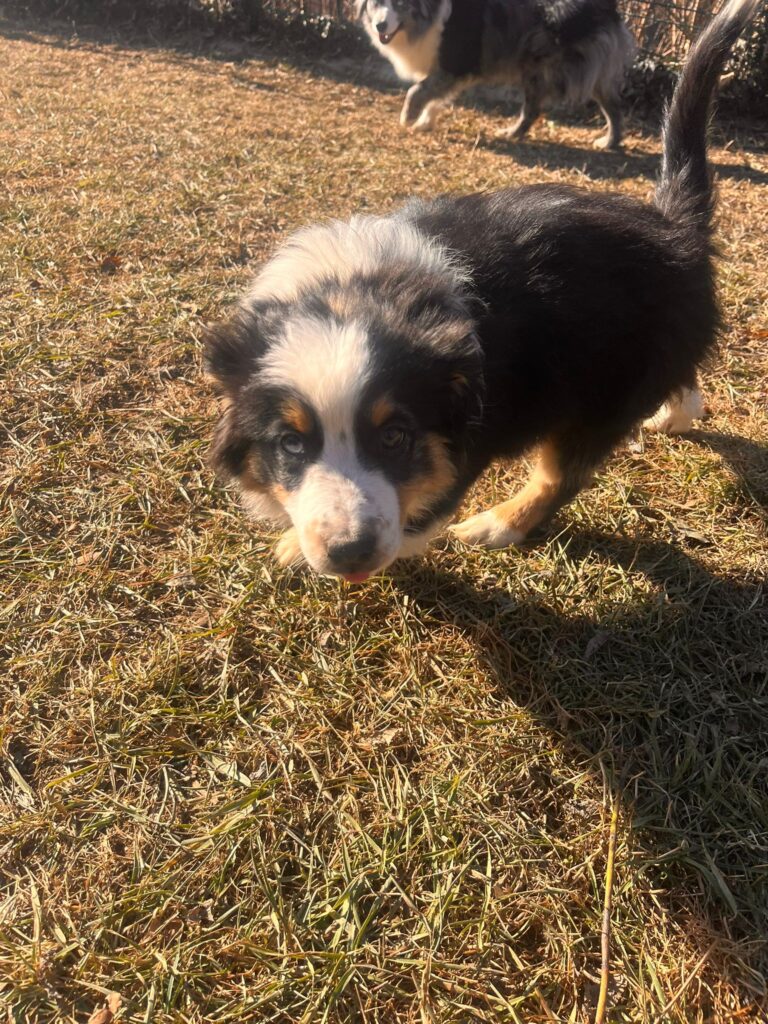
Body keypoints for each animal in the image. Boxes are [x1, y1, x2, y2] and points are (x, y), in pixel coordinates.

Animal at [354, 0, 638, 148]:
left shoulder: (454, 61)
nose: (380, 26)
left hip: (546, 66)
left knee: (535, 107)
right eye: (376, 3)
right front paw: (426, 122)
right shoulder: (449, 70)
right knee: (613, 106)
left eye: (400, 3)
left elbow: (418, 90)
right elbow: (435, 95)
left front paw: (409, 117)